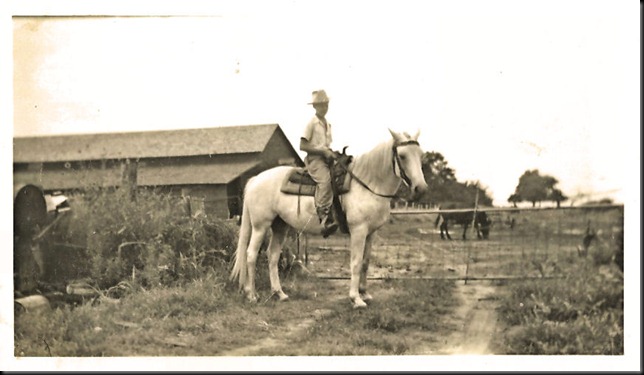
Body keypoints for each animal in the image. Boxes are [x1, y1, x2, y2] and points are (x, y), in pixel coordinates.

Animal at [230, 129, 428, 308]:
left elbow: (365, 263)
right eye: (402, 156)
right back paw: (252, 294)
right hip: (260, 225)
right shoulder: (358, 230)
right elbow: (356, 263)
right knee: (251, 254)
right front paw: (356, 299)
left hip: (280, 226)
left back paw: (279, 293)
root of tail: (255, 179)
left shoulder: (371, 232)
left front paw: (365, 293)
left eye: (420, 155)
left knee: (272, 256)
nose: (421, 188)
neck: (368, 184)